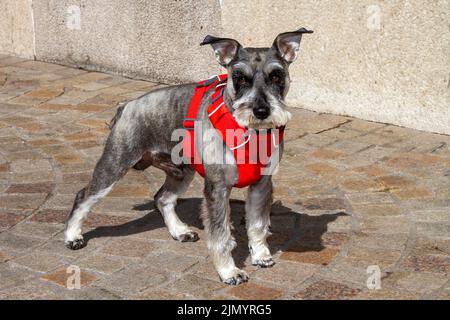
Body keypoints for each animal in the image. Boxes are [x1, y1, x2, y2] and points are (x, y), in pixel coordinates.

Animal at [64, 28, 312, 284]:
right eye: (240, 77)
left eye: (276, 76)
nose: (261, 111)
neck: (249, 134)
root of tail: (127, 105)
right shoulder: (217, 188)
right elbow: (220, 236)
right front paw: (229, 271)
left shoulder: (261, 185)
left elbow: (258, 225)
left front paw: (261, 255)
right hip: (115, 163)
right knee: (84, 195)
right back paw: (73, 236)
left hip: (181, 172)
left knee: (163, 198)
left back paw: (179, 231)